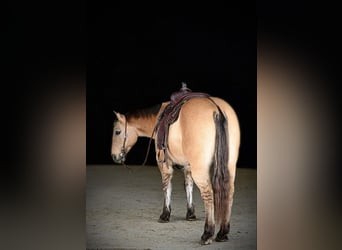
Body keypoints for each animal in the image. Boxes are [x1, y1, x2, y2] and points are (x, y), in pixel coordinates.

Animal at [111, 84, 239, 244]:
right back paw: (222, 233)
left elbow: (167, 186)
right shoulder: (188, 167)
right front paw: (190, 214)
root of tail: (216, 109)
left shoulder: (165, 165)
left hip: (200, 170)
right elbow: (188, 186)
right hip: (229, 166)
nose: (114, 156)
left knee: (208, 194)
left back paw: (207, 233)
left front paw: (165, 215)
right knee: (229, 192)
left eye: (117, 132)